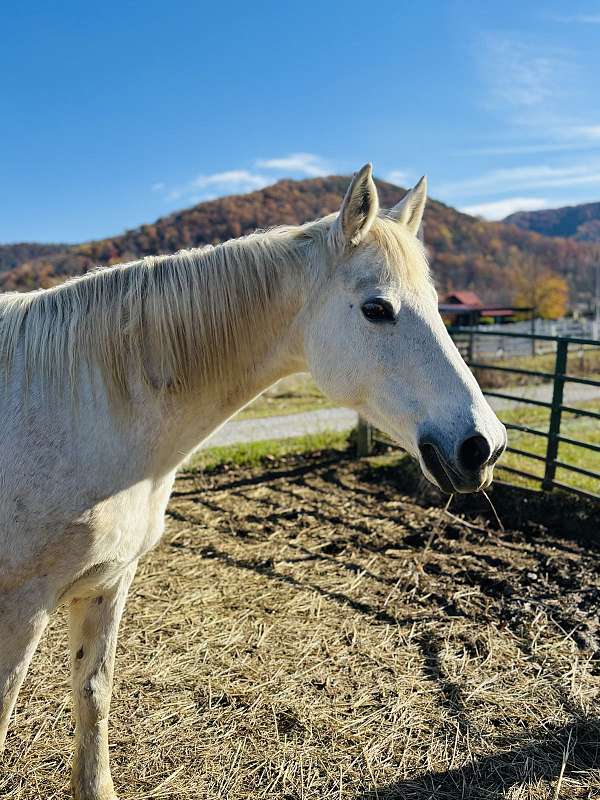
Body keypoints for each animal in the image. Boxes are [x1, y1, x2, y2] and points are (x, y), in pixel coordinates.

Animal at [0, 166, 506, 796]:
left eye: (438, 305)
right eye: (377, 309)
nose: (483, 446)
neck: (82, 409)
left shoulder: (107, 583)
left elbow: (93, 697)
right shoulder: (20, 608)